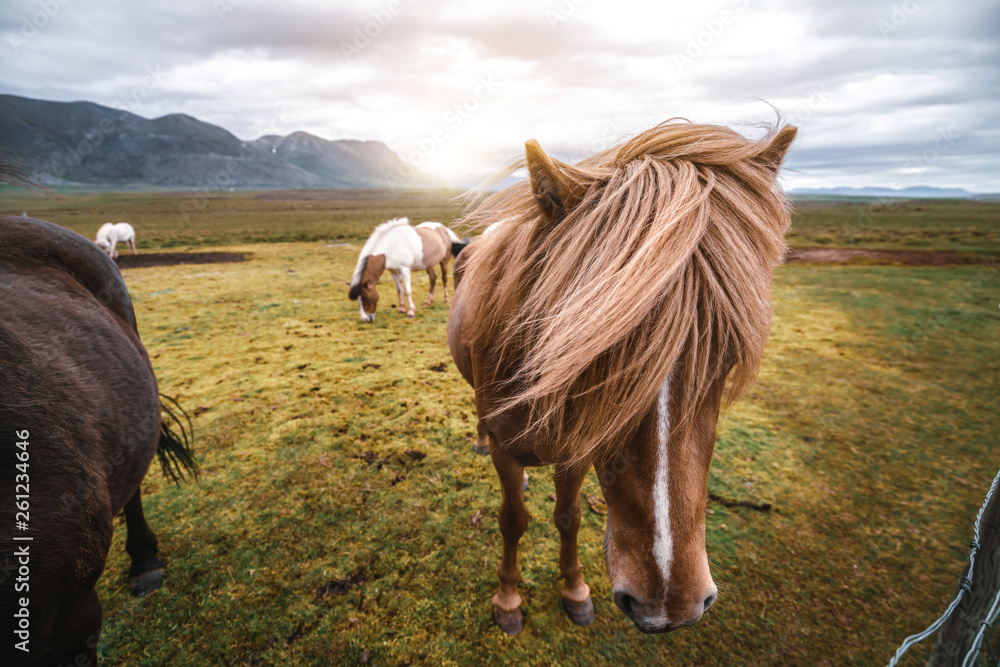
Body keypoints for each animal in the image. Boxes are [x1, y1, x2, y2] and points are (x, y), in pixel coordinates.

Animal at [448, 120, 796, 636]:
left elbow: (568, 516)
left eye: (729, 353)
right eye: (582, 354)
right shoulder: (508, 449)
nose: (669, 604)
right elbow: (512, 519)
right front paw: (508, 600)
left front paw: (574, 591)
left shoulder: (573, 452)